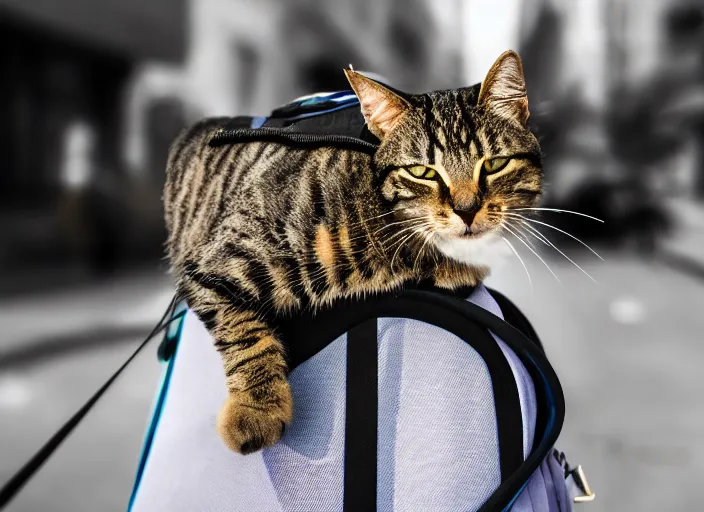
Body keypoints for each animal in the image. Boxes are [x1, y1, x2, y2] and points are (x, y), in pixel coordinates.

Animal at [162, 50, 540, 454]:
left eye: (495, 164)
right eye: (423, 172)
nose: (467, 209)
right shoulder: (213, 264)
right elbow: (245, 335)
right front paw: (255, 409)